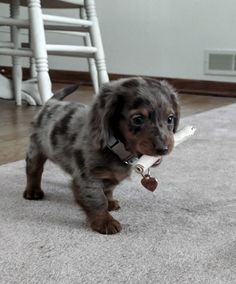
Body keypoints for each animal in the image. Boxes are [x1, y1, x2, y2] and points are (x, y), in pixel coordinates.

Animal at [24, 76, 179, 234]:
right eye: (138, 119)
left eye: (170, 118)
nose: (163, 149)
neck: (117, 149)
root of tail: (51, 103)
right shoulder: (88, 178)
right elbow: (97, 200)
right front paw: (105, 221)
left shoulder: (109, 178)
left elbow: (108, 190)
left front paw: (110, 203)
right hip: (35, 151)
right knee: (34, 172)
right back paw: (33, 191)